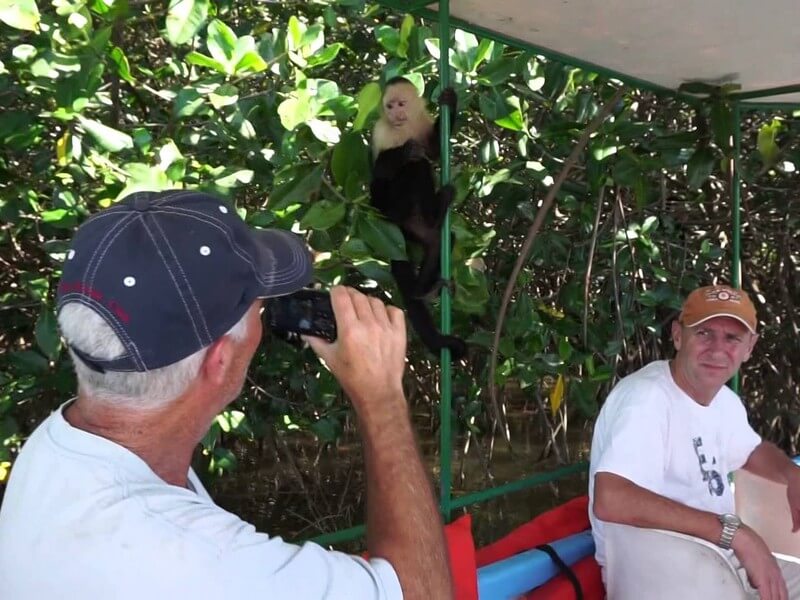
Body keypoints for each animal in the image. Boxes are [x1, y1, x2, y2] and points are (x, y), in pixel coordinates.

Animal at [368, 78, 466, 360]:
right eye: (388, 106)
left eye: (401, 104)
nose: (394, 113)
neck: (404, 127)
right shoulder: (381, 131)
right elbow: (379, 172)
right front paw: (404, 151)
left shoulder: (421, 121)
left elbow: (433, 151)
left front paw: (451, 101)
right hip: (389, 211)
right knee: (411, 170)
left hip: (415, 229)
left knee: (437, 241)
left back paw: (423, 291)